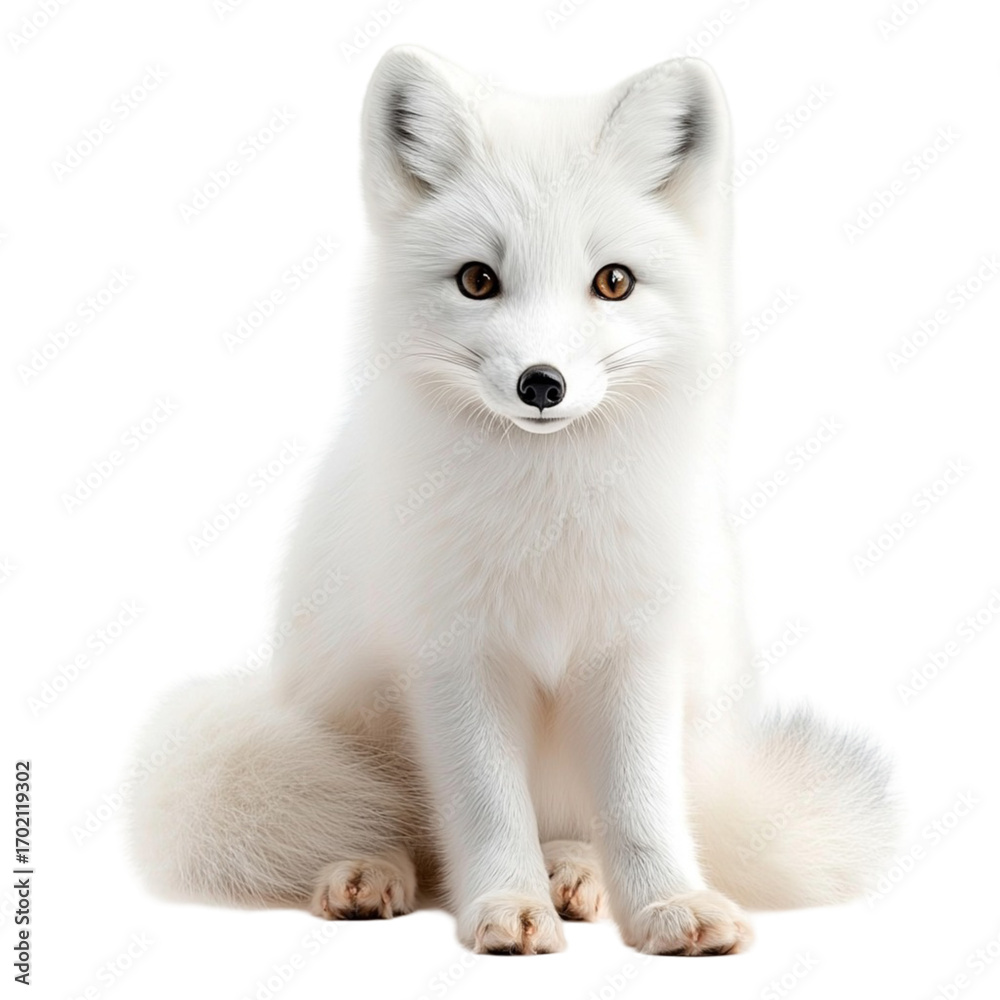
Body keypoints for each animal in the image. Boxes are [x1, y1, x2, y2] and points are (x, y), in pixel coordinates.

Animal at [128, 45, 897, 956]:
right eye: (477, 279)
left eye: (613, 282)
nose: (542, 384)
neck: (547, 514)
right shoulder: (456, 659)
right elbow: (488, 808)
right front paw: (505, 905)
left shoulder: (635, 650)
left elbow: (640, 806)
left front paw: (669, 904)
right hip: (338, 708)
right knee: (403, 830)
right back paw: (373, 872)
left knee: (578, 823)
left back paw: (575, 874)